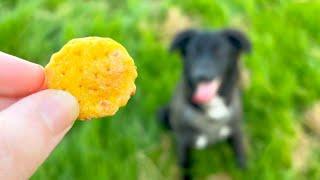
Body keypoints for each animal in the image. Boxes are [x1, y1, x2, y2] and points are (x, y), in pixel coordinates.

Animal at [159, 28, 251, 179]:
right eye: (193, 52)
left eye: (219, 51)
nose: (202, 76)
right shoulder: (183, 143)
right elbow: (185, 166)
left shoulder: (236, 131)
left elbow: (240, 155)